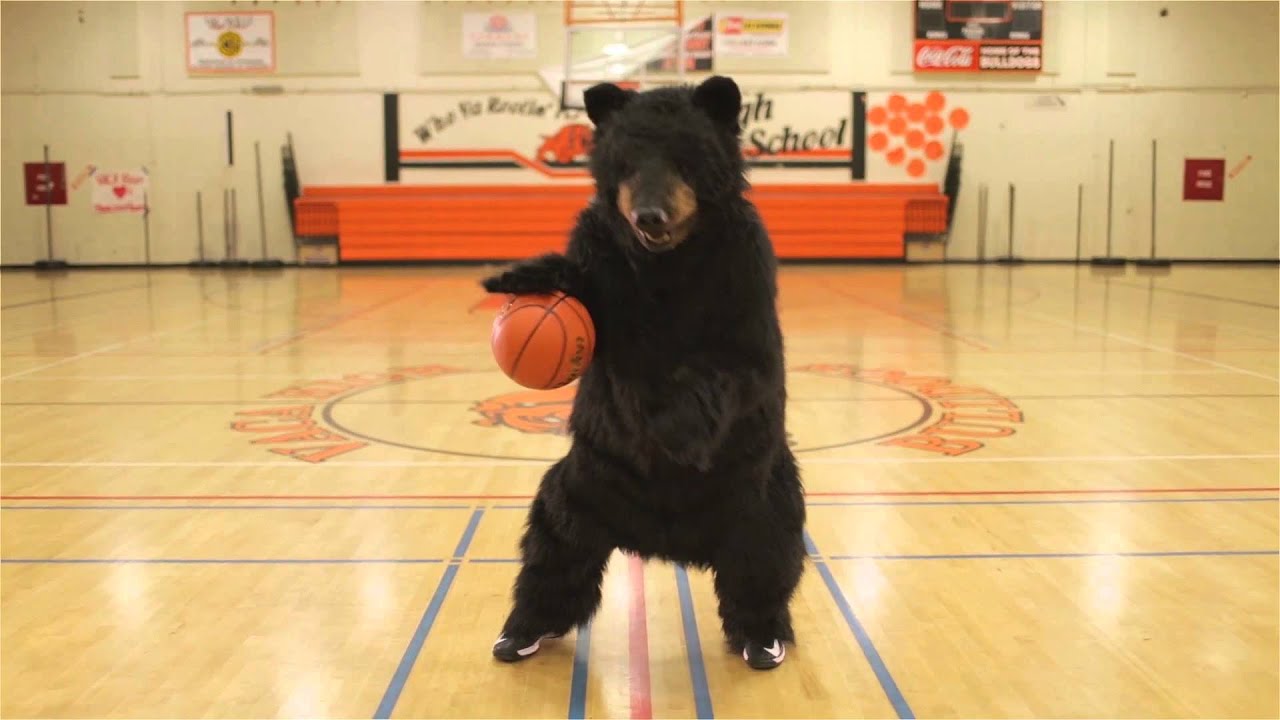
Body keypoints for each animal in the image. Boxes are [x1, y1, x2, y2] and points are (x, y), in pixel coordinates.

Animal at [480, 75, 807, 671]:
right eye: (626, 163)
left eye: (685, 159)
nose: (648, 215)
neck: (668, 263)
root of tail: (669, 543)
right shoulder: (601, 263)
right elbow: (595, 306)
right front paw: (519, 278)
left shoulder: (742, 281)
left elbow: (729, 368)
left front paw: (679, 426)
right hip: (582, 489)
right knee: (556, 550)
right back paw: (524, 629)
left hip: (761, 499)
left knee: (763, 563)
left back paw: (761, 635)